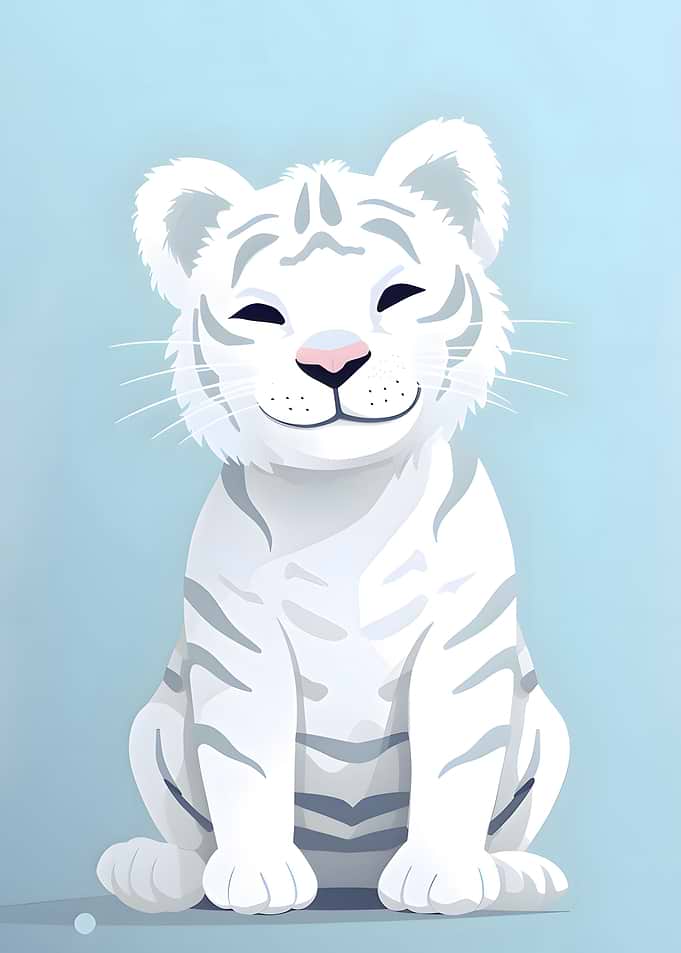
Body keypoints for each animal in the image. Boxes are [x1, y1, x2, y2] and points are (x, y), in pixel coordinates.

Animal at [97, 118, 570, 916]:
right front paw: (256, 877)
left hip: (545, 727)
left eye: (397, 295)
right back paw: (154, 871)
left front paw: (441, 876)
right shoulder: (238, 643)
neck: (348, 503)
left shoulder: (462, 640)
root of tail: (348, 875)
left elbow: (455, 762)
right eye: (261, 314)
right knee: (186, 836)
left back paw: (516, 876)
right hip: (152, 725)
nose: (332, 360)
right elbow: (246, 762)